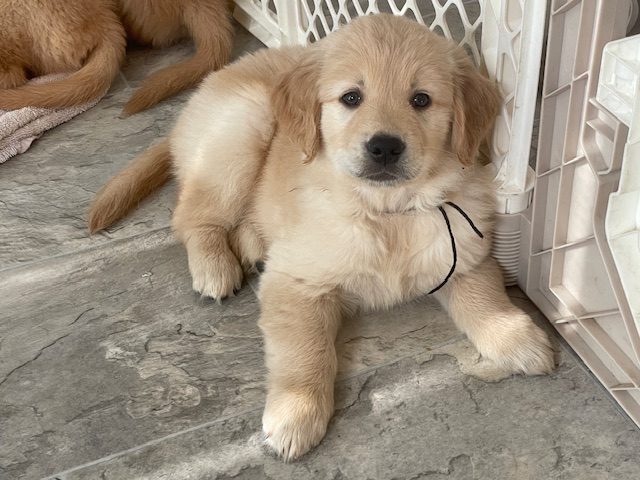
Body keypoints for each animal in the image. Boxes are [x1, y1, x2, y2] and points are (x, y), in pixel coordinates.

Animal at [90, 15, 556, 462]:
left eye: (421, 100)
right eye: (351, 98)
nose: (384, 147)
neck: (384, 213)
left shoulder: (463, 252)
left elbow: (486, 298)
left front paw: (517, 339)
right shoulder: (297, 282)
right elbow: (303, 351)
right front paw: (295, 415)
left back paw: (251, 246)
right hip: (241, 131)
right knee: (190, 214)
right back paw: (214, 266)